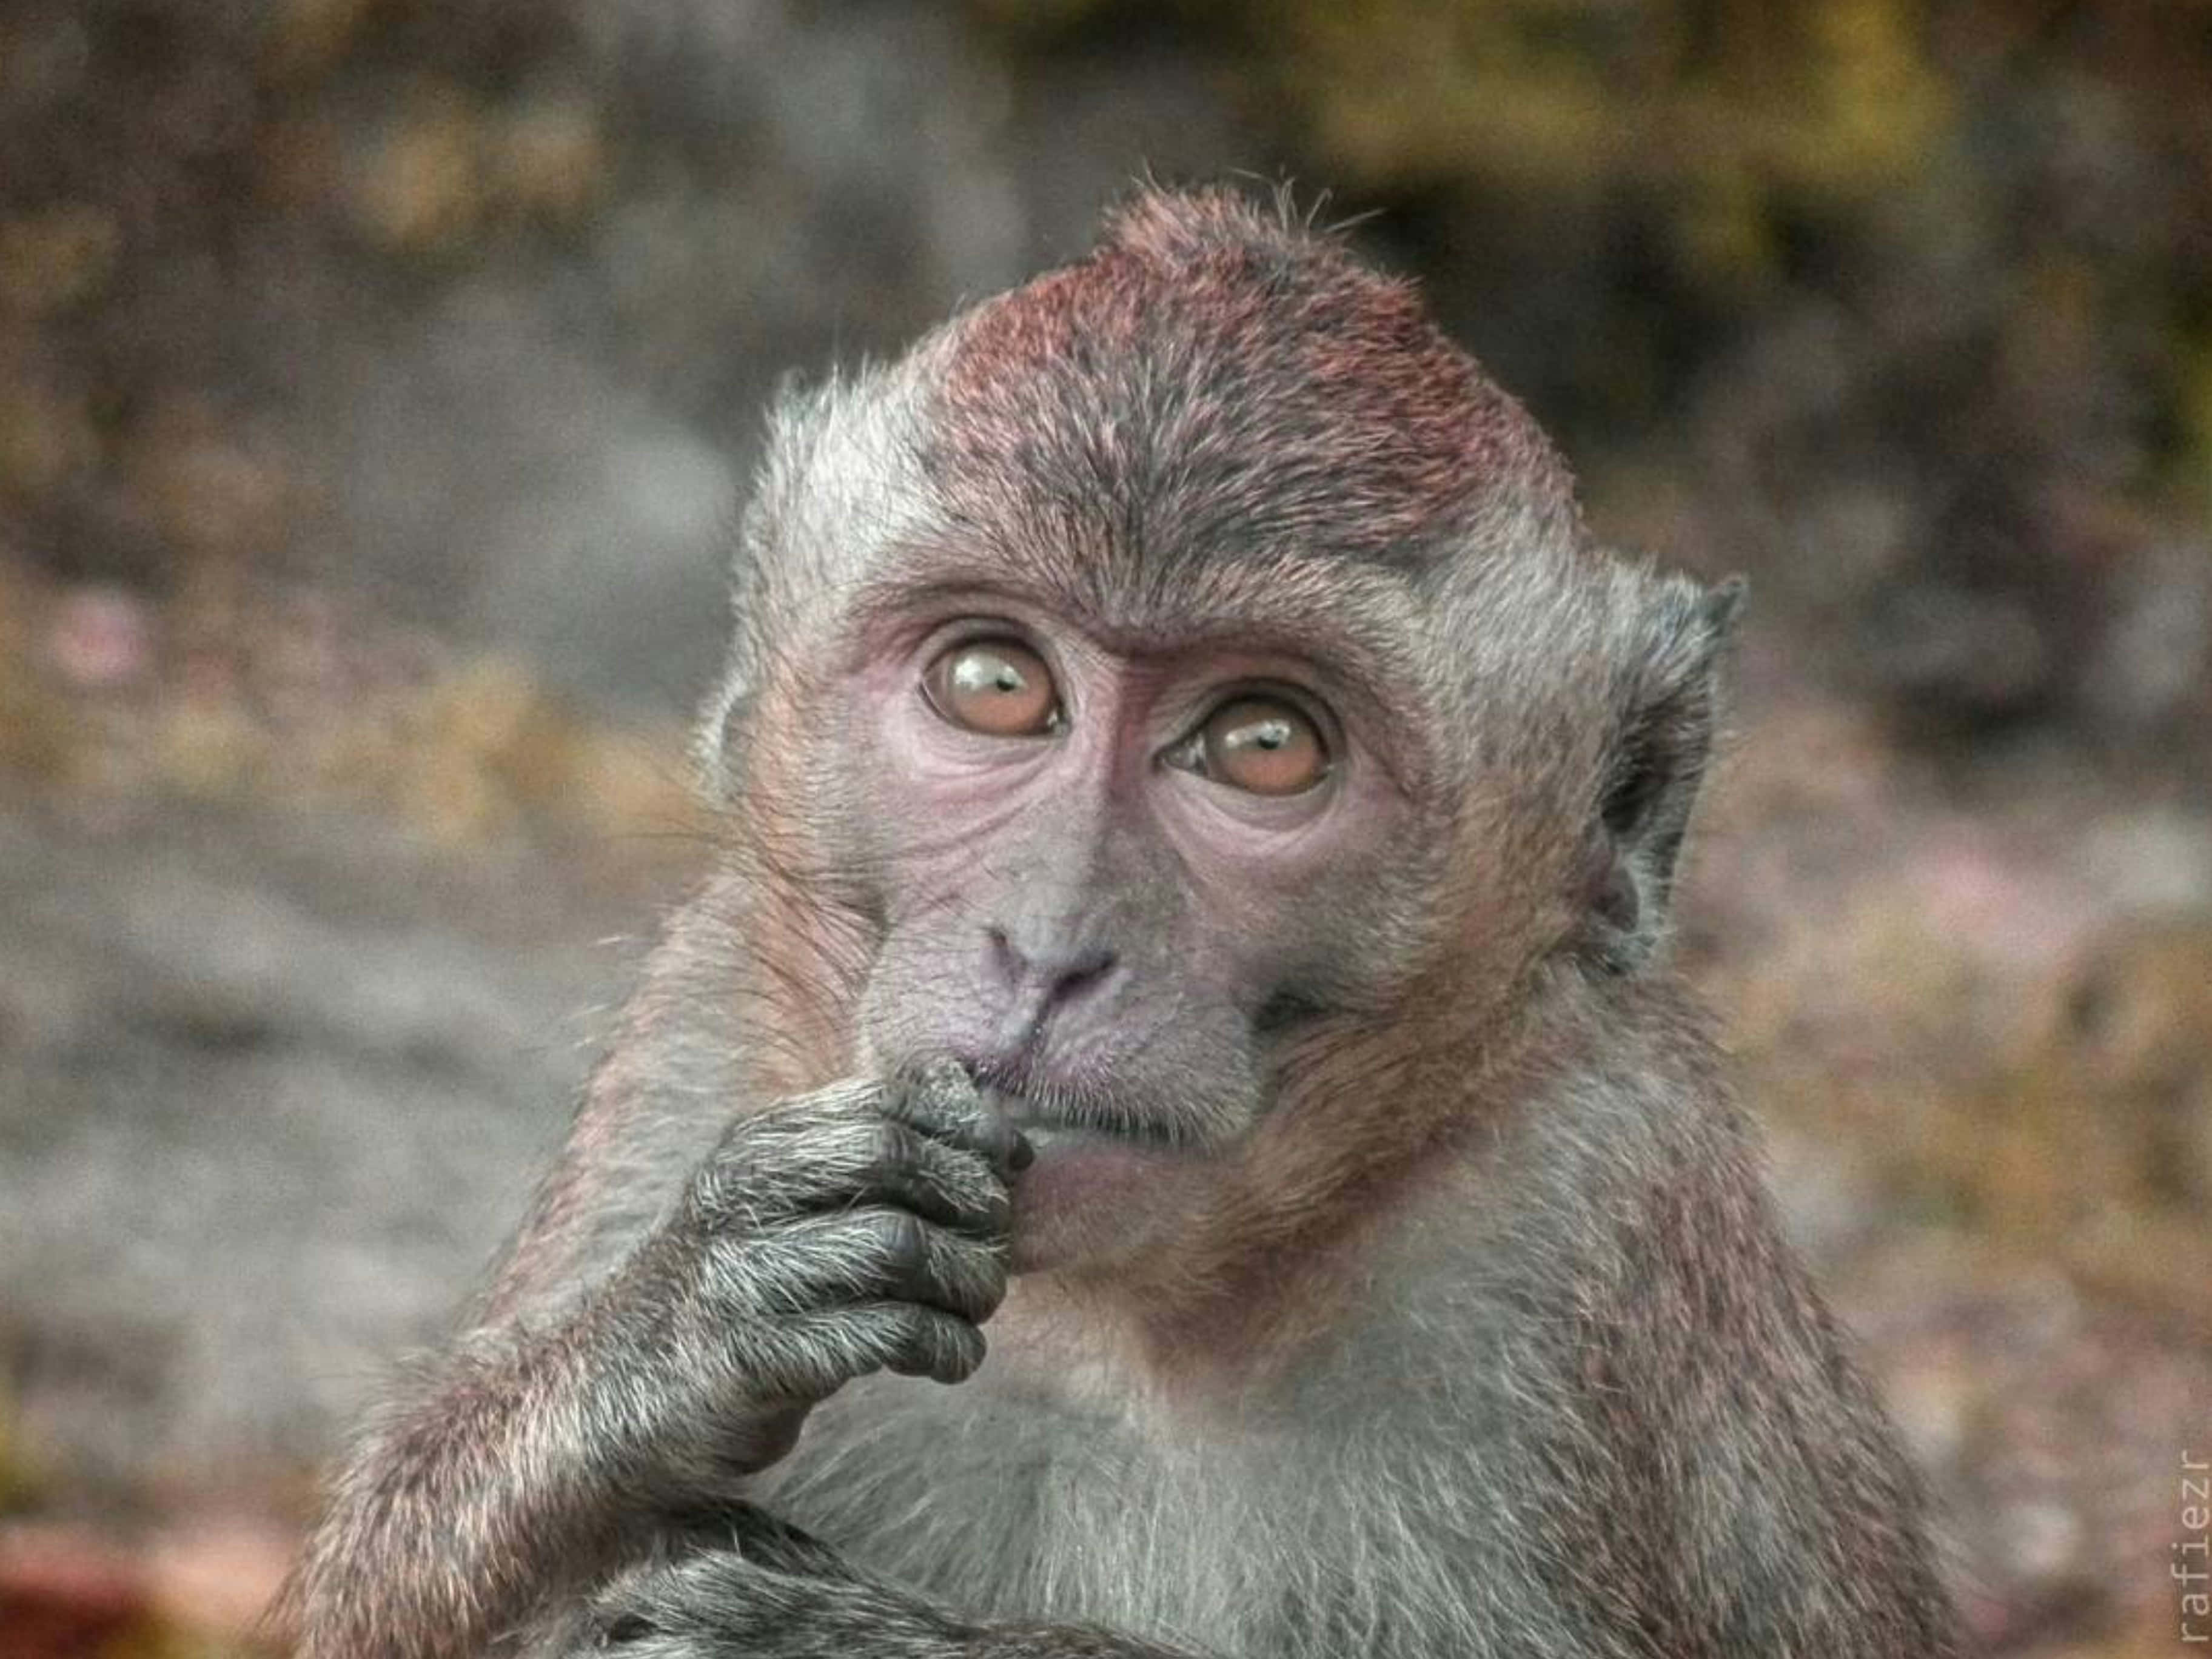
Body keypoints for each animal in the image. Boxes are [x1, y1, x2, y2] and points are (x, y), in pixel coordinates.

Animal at [277, 187, 1958, 1659]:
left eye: (1265, 743)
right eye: (994, 681)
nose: (1049, 948)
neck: (1117, 1325)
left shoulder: (1592, 1223)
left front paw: (866, 1643)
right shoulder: (705, 1032)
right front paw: (687, 1320)